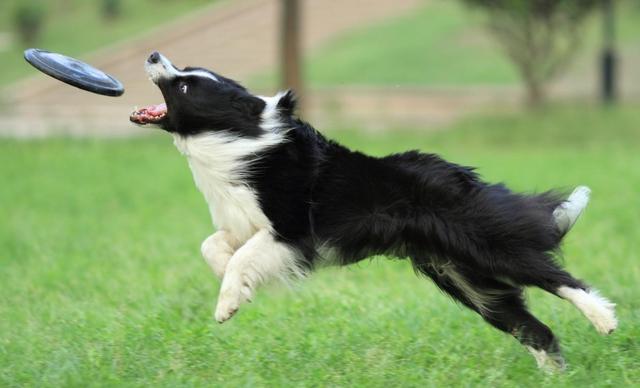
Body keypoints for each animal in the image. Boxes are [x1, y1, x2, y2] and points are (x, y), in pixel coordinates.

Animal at [130, 50, 616, 370]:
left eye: (185, 84)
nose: (153, 54)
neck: (236, 141)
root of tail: (464, 177)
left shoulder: (290, 231)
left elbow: (244, 257)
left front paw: (228, 303)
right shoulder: (245, 222)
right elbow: (213, 245)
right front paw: (231, 281)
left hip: (485, 247)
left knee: (557, 277)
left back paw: (603, 318)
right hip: (466, 279)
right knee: (531, 327)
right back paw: (554, 373)